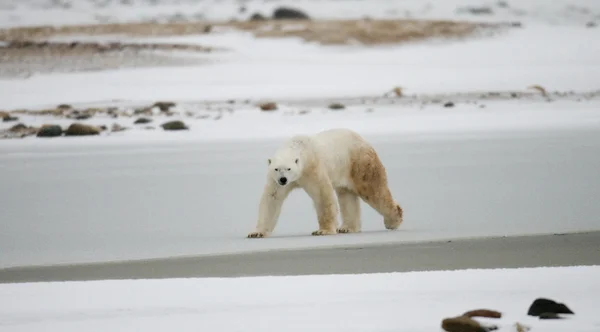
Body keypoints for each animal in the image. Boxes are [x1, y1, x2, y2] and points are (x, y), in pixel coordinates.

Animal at [248, 127, 404, 239]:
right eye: (277, 169)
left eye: (288, 168)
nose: (283, 179)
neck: (300, 148)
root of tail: (364, 140)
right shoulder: (274, 180)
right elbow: (272, 199)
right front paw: (256, 233)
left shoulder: (312, 168)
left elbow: (322, 195)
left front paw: (323, 231)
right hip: (345, 170)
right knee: (346, 196)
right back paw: (347, 227)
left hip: (360, 164)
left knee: (373, 190)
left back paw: (393, 221)